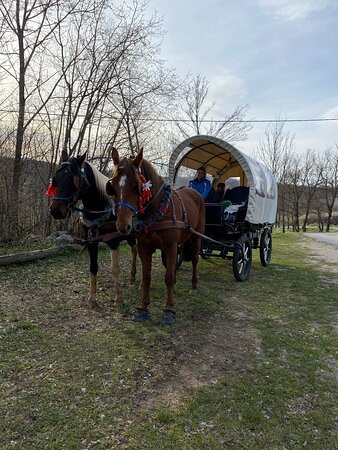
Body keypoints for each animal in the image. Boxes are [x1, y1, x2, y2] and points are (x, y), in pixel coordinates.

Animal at [48, 153, 136, 308]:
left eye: (73, 180)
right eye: (56, 179)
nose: (56, 211)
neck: (101, 209)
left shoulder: (113, 242)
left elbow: (115, 268)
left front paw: (119, 298)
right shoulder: (91, 242)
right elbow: (93, 267)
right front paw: (92, 299)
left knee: (136, 252)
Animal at [107, 148, 205, 324]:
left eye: (136, 186)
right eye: (114, 186)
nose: (123, 226)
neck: (156, 209)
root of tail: (194, 192)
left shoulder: (171, 245)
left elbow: (168, 277)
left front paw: (169, 309)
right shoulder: (144, 246)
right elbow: (147, 276)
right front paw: (143, 306)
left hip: (196, 237)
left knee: (194, 259)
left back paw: (194, 286)